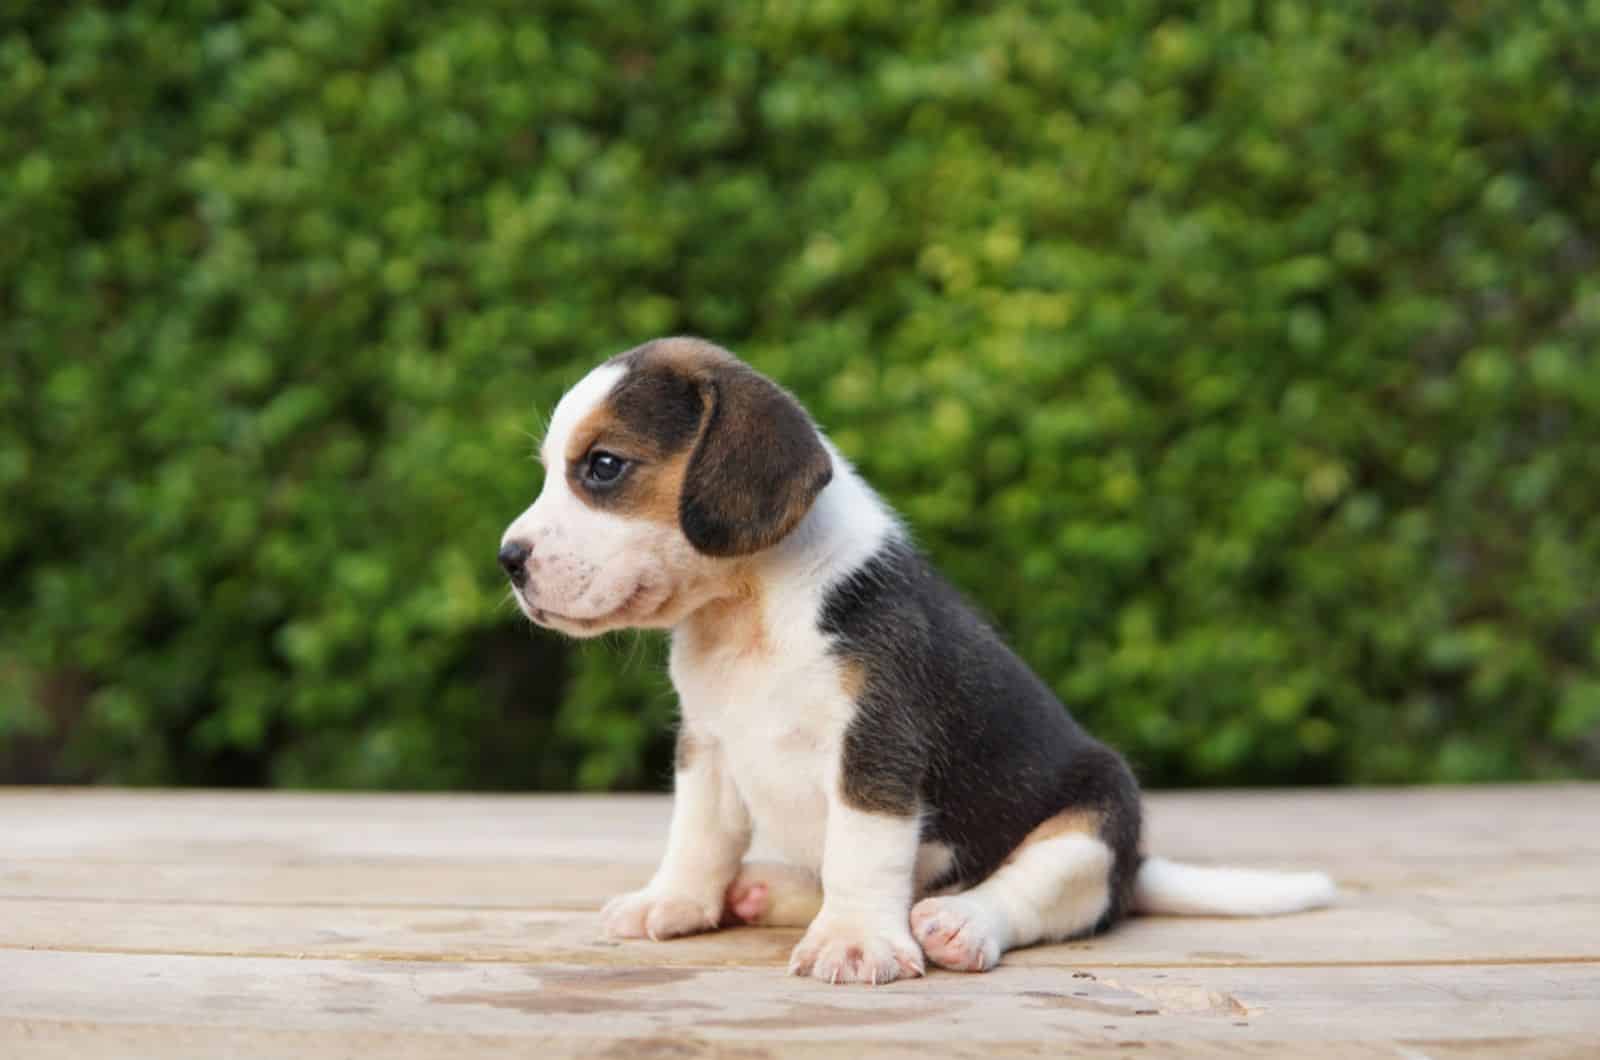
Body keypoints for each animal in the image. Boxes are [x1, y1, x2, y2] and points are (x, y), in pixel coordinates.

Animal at [502, 341, 1337, 986]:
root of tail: (1137, 867)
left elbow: (863, 853)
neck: (750, 611)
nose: (508, 559)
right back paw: (770, 892)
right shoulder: (706, 745)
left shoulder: (875, 747)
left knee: (1038, 892)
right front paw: (671, 902)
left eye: (603, 466)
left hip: (1096, 814)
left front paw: (854, 942)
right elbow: (698, 837)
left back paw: (959, 922)